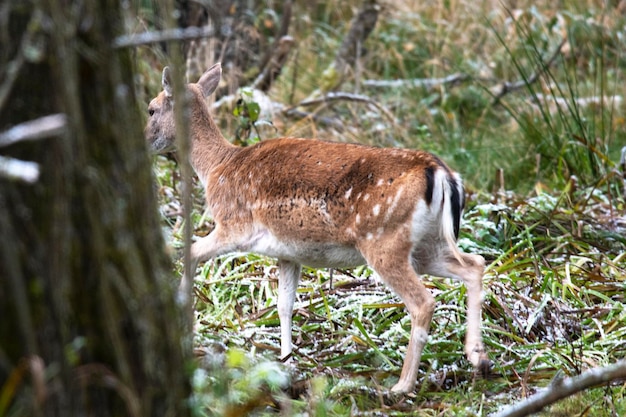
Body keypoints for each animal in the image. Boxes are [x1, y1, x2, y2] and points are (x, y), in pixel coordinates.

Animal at [145, 62, 488, 394]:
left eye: (150, 109)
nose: (145, 143)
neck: (217, 168)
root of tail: (441, 173)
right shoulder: (287, 252)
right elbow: (284, 305)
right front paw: (286, 359)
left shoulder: (233, 225)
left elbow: (189, 253)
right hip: (427, 244)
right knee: (475, 264)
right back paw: (478, 357)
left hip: (385, 240)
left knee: (423, 301)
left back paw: (402, 385)